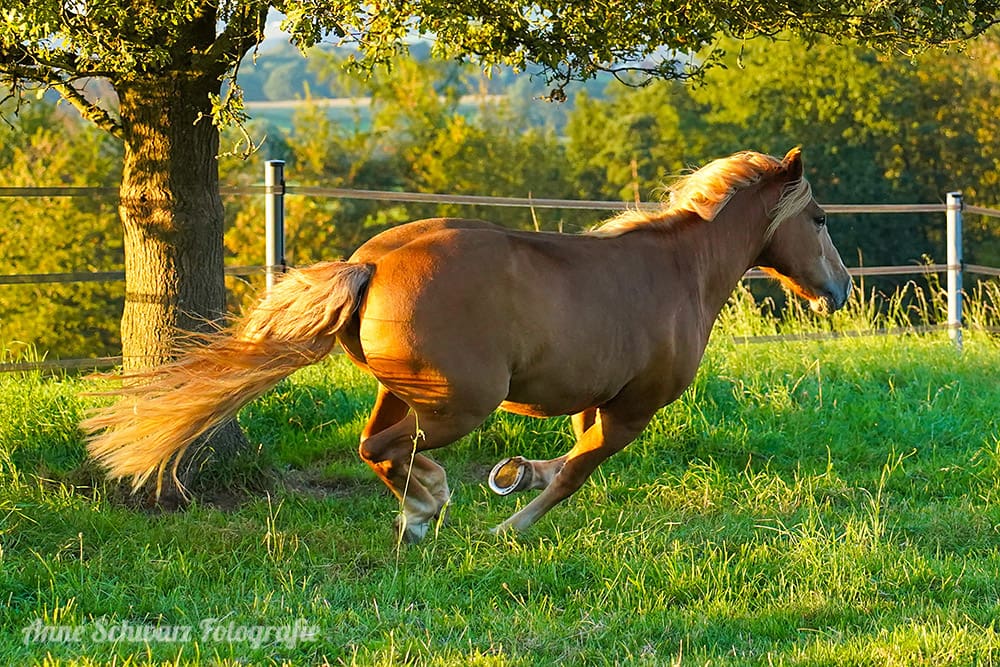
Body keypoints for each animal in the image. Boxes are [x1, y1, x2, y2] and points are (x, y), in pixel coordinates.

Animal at [83, 148, 852, 543]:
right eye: (817, 217)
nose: (840, 289)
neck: (676, 272)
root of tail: (372, 264)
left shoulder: (594, 399)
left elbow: (568, 454)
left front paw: (518, 478)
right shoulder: (634, 410)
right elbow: (578, 470)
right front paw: (512, 520)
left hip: (406, 391)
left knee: (377, 444)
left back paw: (423, 509)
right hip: (462, 406)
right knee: (386, 450)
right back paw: (426, 511)